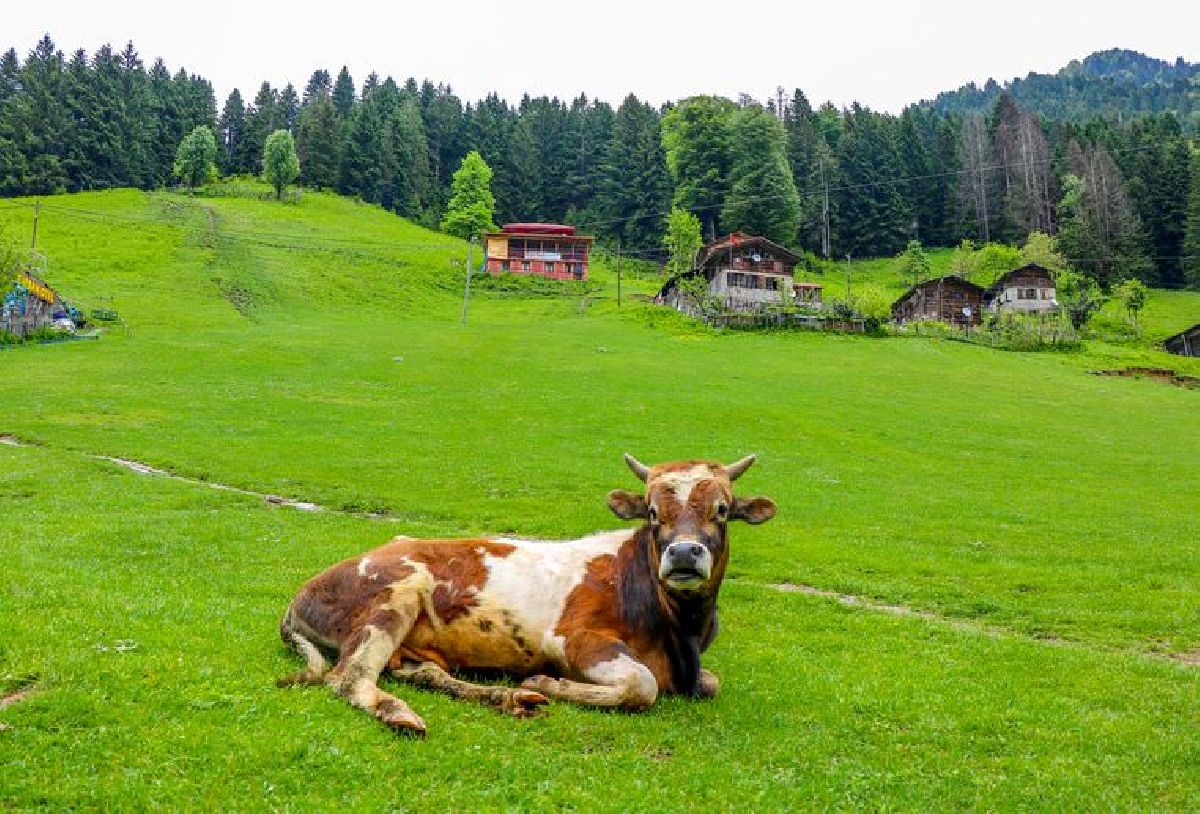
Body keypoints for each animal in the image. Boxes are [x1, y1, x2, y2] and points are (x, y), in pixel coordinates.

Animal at [280, 456, 777, 734]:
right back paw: (403, 713)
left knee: (426, 673)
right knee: (349, 677)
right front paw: (545, 681)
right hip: (394, 596)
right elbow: (642, 684)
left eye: (722, 511)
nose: (684, 553)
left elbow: (711, 682)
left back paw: (508, 698)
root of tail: (302, 592)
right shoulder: (574, 640)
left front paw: (534, 688)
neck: (681, 633)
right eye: (653, 512)